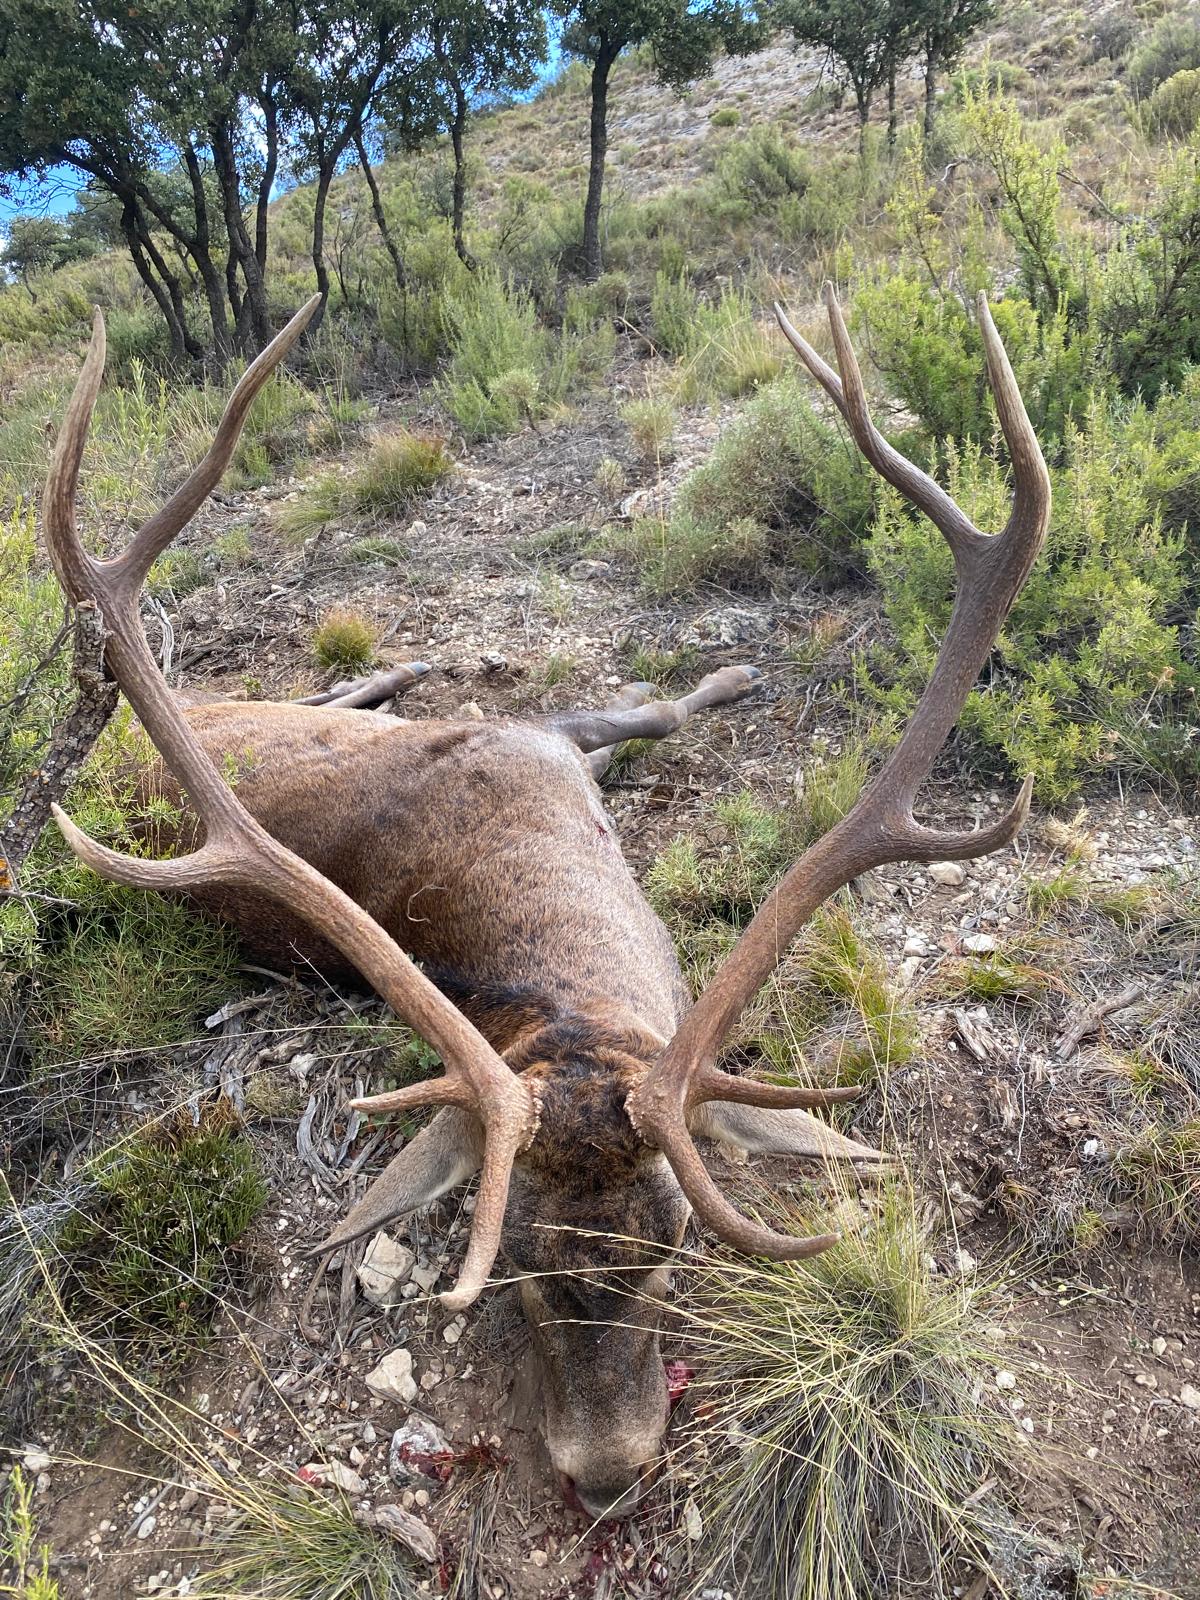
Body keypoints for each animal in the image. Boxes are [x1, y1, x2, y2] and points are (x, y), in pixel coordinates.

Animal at [41, 284, 1050, 1521]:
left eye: (674, 1243)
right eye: (517, 1260)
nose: (607, 1471)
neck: (556, 953)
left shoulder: (542, 736)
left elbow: (649, 711)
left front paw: (727, 677)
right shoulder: (539, 735)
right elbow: (649, 707)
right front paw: (724, 678)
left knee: (331, 688)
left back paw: (402, 671)